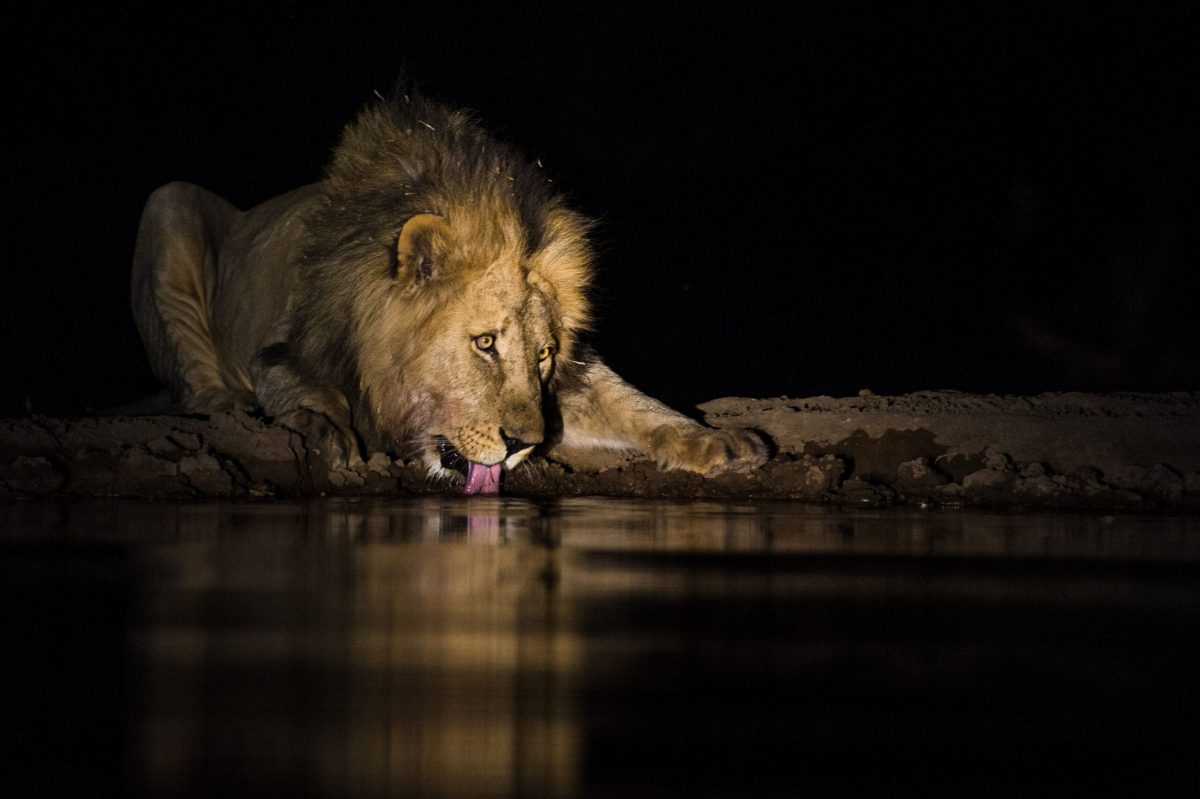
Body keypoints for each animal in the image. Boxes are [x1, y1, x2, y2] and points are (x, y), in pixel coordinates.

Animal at [130, 87, 767, 493]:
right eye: (485, 344)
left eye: (543, 355)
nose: (523, 444)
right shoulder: (290, 346)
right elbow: (302, 388)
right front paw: (327, 435)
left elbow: (631, 401)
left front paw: (720, 442)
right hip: (169, 201)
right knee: (193, 379)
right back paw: (224, 404)